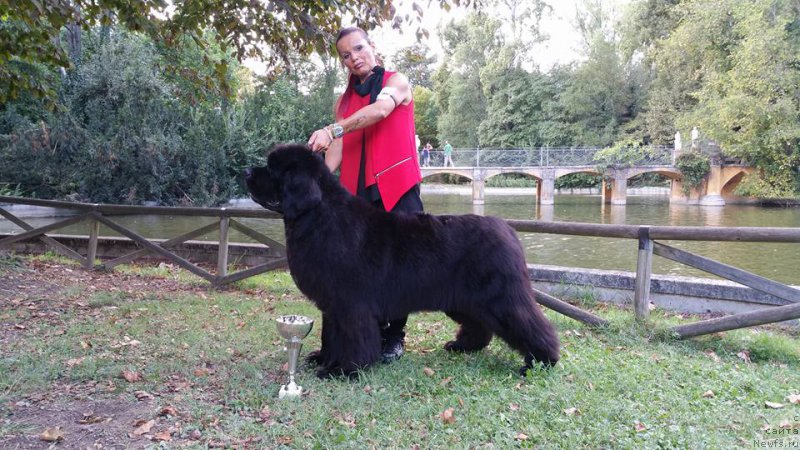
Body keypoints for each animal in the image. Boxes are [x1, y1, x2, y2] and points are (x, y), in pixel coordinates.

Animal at [247, 146, 560, 378]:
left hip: (501, 297)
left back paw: (542, 361)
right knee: (480, 325)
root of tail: (508, 230)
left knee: (530, 324)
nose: (247, 171)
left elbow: (352, 338)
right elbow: (330, 335)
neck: (319, 217)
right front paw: (323, 359)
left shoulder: (351, 304)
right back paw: (462, 346)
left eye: (272, 170)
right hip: (465, 300)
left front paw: (343, 370)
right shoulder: (332, 305)